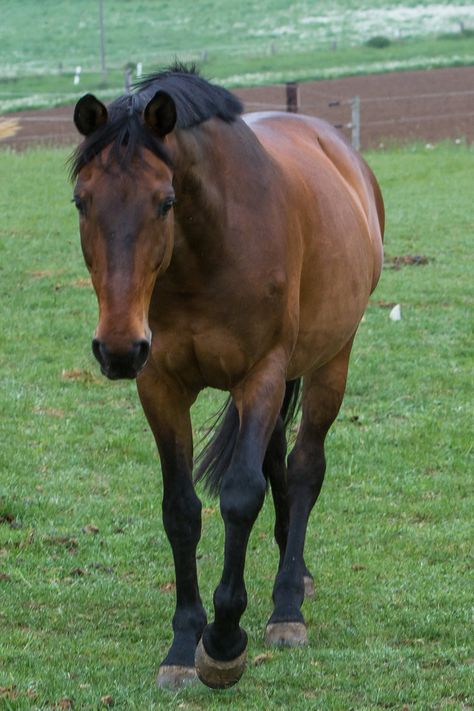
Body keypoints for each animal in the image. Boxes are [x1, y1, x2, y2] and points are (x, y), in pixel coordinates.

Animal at [70, 65, 384, 688]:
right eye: (81, 201)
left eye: (165, 201)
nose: (117, 348)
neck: (207, 251)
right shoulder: (159, 386)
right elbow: (181, 510)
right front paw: (181, 644)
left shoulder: (261, 374)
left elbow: (241, 496)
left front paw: (221, 643)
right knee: (277, 464)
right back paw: (296, 570)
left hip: (330, 361)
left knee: (303, 467)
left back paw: (287, 606)